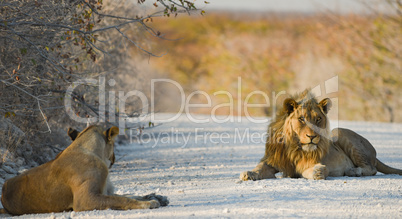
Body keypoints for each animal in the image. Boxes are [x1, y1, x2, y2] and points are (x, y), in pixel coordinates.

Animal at [0, 126, 167, 215]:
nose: (114, 158)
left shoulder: (105, 191)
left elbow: (128, 195)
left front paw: (157, 197)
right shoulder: (85, 199)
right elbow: (122, 199)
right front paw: (150, 203)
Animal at [240, 90, 400, 181]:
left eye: (318, 119)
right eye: (301, 119)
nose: (312, 137)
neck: (294, 146)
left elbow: (309, 170)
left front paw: (317, 172)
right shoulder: (273, 160)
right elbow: (260, 167)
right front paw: (249, 173)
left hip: (339, 132)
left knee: (371, 169)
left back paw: (353, 171)